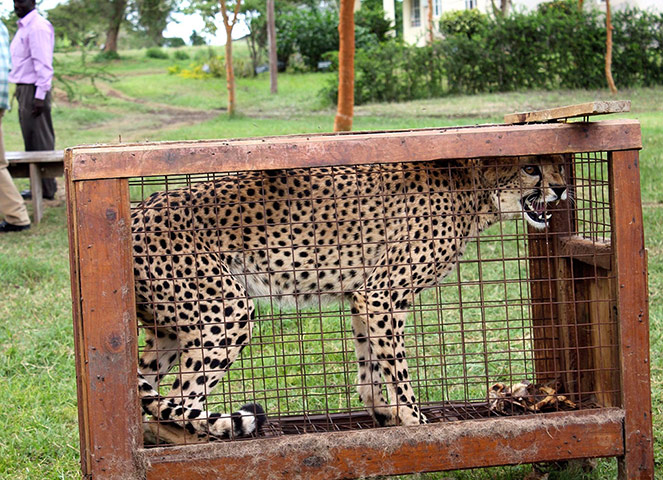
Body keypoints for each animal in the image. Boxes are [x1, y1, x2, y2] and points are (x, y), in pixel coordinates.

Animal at [132, 154, 568, 442]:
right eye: (531, 168)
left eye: (560, 165)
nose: (562, 189)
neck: (472, 192)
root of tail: (139, 207)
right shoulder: (381, 295)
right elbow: (399, 373)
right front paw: (415, 422)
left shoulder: (363, 297)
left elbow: (370, 369)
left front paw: (382, 412)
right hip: (228, 312)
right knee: (174, 402)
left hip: (171, 328)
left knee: (150, 397)